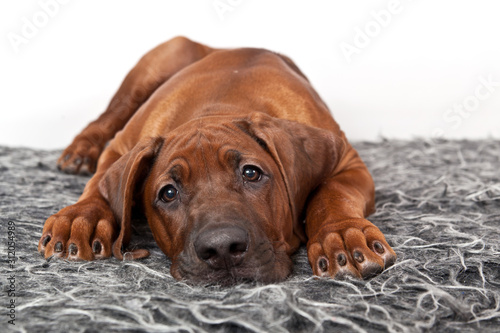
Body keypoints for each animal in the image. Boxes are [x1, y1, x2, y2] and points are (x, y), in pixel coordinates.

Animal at [37, 35, 396, 282]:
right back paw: (80, 151)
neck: (219, 107)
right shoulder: (123, 145)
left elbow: (332, 193)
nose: (222, 249)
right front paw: (81, 216)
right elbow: (99, 182)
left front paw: (342, 236)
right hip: (158, 62)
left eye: (251, 173)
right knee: (107, 115)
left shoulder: (346, 160)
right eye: (168, 193)